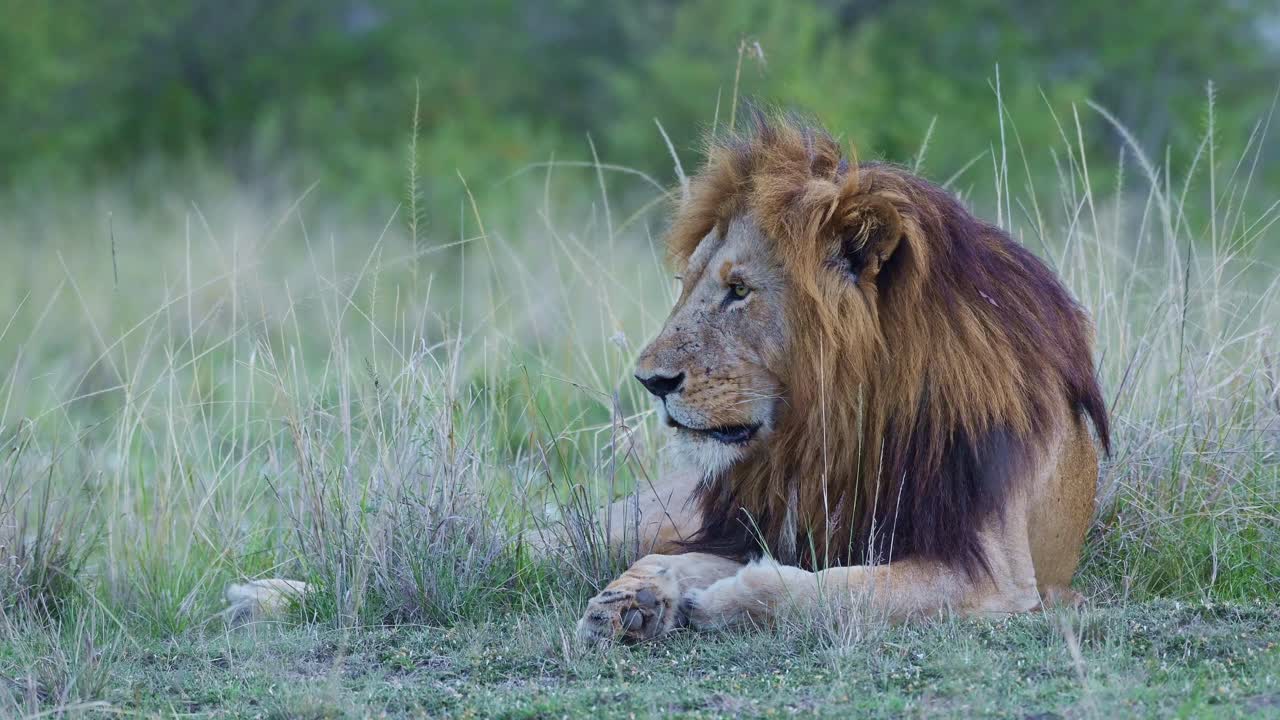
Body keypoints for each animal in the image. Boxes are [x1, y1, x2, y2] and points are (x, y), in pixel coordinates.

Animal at [577, 113, 1110, 642]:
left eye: (739, 290)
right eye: (685, 285)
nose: (651, 382)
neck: (844, 426)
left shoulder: (996, 576)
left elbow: (832, 590)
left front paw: (715, 601)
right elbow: (693, 560)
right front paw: (635, 594)